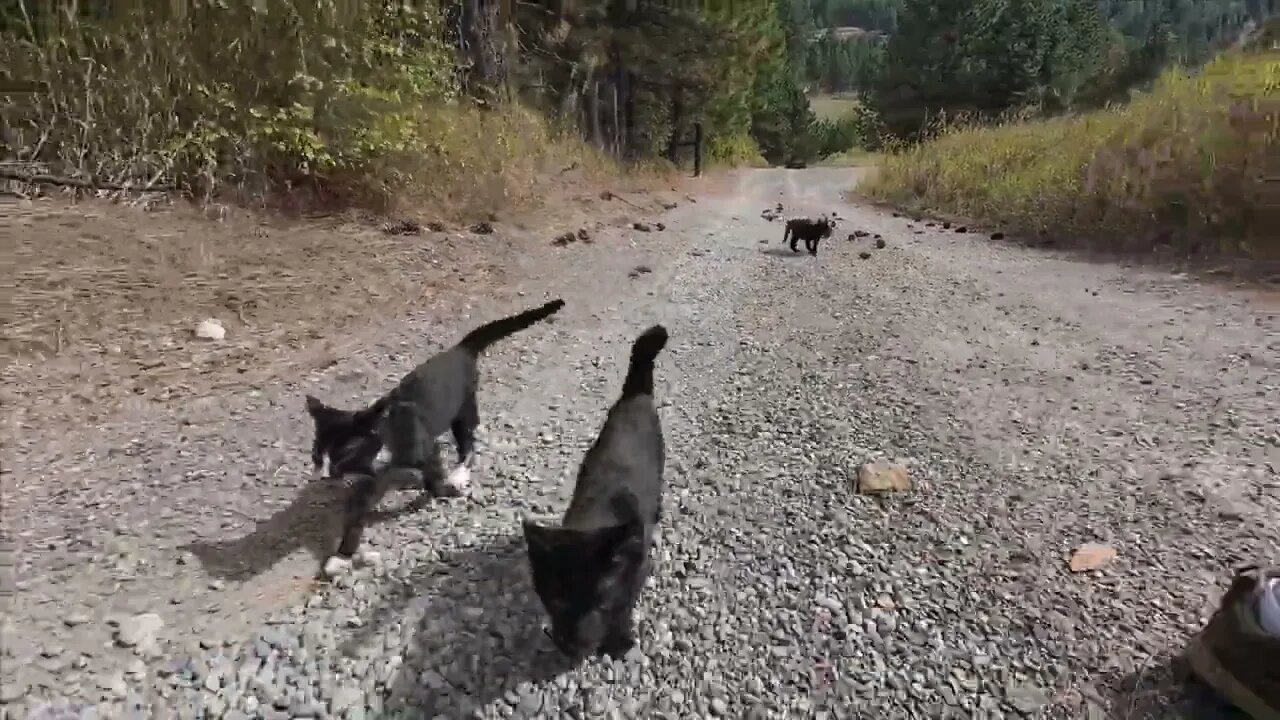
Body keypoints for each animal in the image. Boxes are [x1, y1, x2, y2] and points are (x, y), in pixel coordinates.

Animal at [304, 297, 565, 566]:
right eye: (316, 456)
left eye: (344, 453)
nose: (327, 474)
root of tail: (458, 350)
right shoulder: (370, 480)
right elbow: (358, 509)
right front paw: (345, 549)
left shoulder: (426, 449)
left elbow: (433, 475)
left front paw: (440, 490)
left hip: (464, 407)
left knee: (468, 439)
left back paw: (460, 469)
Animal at [519, 322, 670, 661]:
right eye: (559, 602)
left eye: (600, 602)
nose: (573, 644)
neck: (596, 515)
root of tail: (635, 393)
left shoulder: (637, 569)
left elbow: (624, 604)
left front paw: (620, 640)